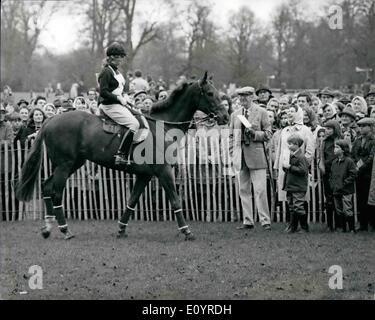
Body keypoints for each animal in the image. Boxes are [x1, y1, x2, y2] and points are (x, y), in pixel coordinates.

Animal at [15, 72, 229, 240]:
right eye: (210, 93)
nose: (225, 117)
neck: (163, 126)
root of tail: (50, 120)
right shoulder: (164, 171)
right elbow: (175, 200)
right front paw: (186, 231)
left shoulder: (145, 175)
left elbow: (132, 201)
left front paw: (121, 229)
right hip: (64, 165)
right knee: (56, 192)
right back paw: (64, 230)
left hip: (72, 164)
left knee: (47, 187)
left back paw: (48, 228)